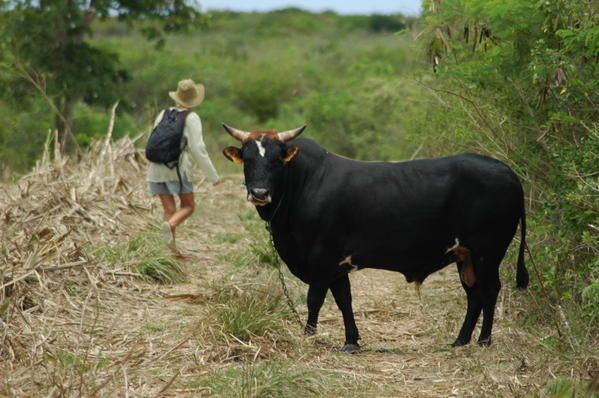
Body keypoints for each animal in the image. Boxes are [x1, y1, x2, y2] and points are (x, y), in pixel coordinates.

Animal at [221, 126, 528, 352]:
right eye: (248, 161)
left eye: (275, 161)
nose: (259, 193)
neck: (304, 184)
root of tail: (508, 172)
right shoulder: (337, 265)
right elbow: (344, 300)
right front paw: (351, 341)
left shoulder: (321, 260)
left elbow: (314, 300)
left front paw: (308, 336)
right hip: (465, 256)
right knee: (474, 294)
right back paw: (460, 340)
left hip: (487, 252)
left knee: (489, 290)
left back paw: (484, 340)